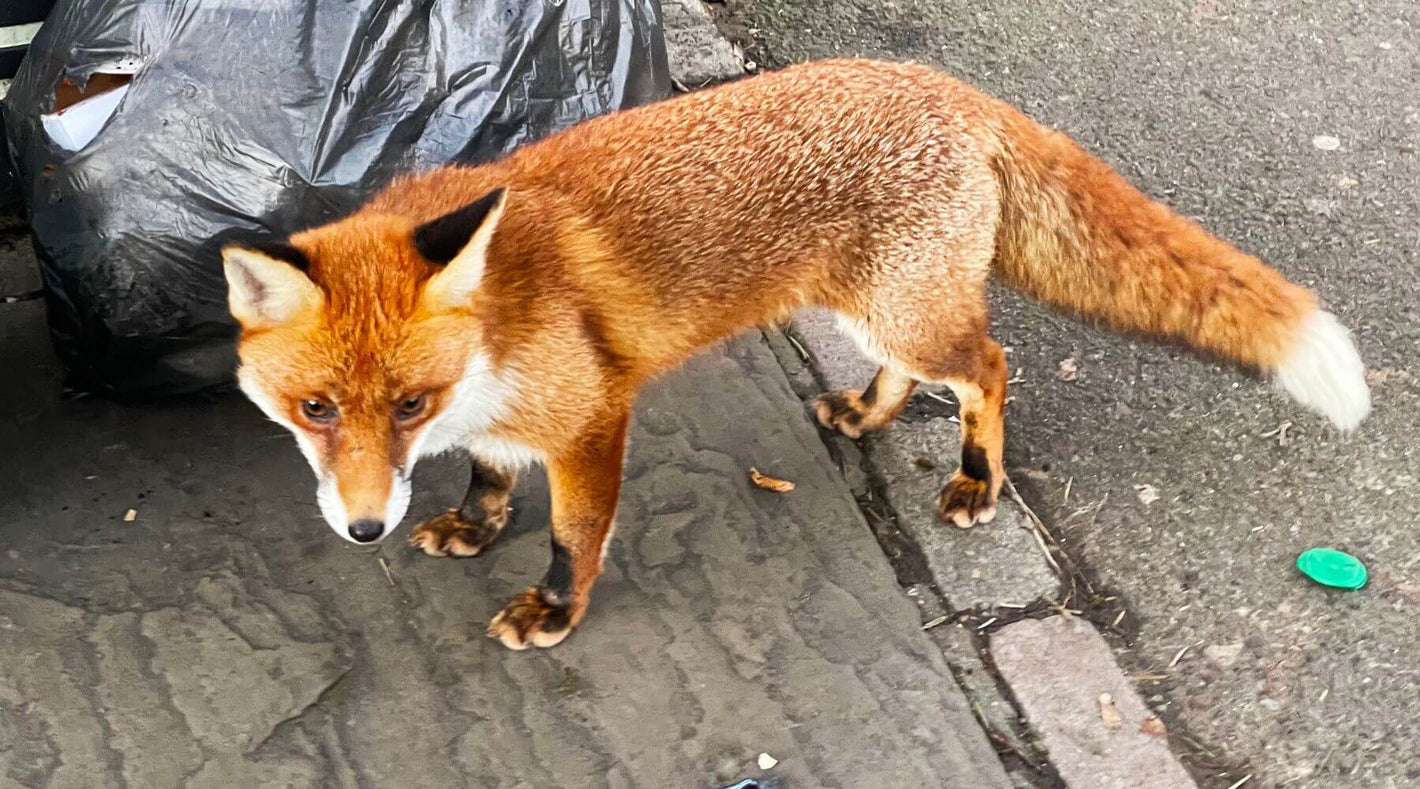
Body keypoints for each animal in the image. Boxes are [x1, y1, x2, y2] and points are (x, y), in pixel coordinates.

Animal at [223, 59, 1370, 650]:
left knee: (991, 368)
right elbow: (492, 476)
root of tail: (947, 83)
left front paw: (554, 607)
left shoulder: (590, 417)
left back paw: (975, 480)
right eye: (317, 410)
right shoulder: (506, 416)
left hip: (908, 312)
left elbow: (571, 534)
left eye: (407, 405)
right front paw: (471, 522)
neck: (498, 332)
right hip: (869, 312)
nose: (365, 530)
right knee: (925, 373)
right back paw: (865, 414)